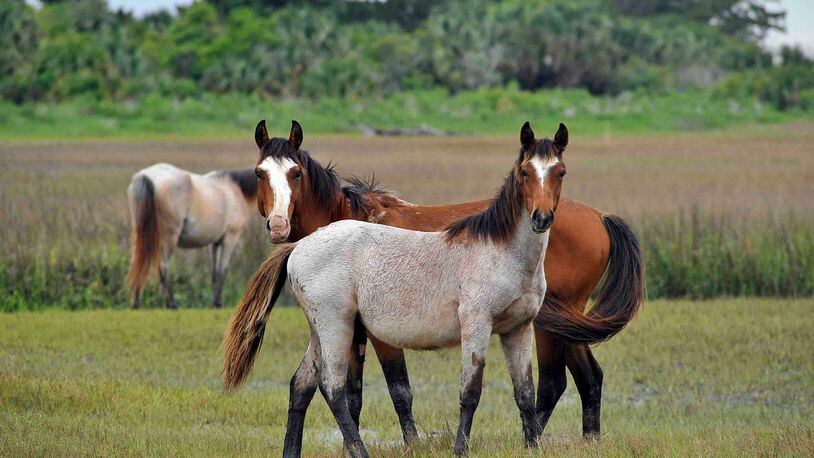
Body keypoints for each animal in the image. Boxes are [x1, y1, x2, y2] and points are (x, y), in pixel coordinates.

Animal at [126, 163, 258, 310]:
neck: (236, 188)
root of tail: (146, 176)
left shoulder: (214, 243)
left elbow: (215, 272)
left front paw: (214, 302)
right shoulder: (229, 238)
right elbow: (222, 270)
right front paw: (218, 302)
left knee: (137, 263)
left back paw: (135, 303)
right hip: (169, 237)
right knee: (163, 266)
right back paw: (171, 303)